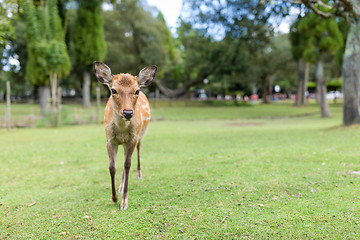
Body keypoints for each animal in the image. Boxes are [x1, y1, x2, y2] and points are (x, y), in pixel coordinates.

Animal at [93, 62, 157, 210]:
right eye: (113, 90)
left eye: (136, 91)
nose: (128, 113)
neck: (121, 130)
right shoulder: (110, 140)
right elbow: (112, 166)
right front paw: (114, 197)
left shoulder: (133, 138)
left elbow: (127, 165)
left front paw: (124, 202)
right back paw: (121, 187)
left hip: (141, 133)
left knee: (138, 150)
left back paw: (138, 174)